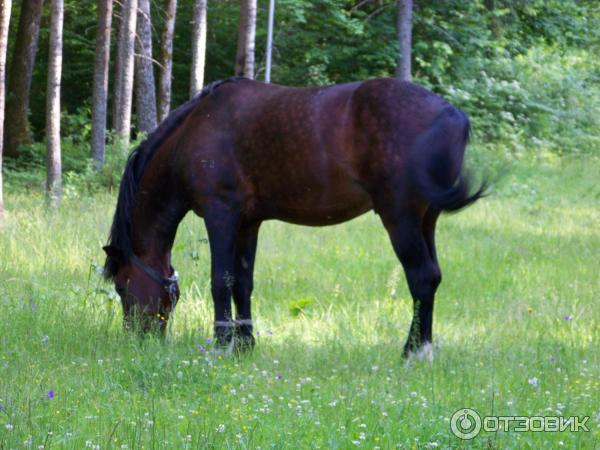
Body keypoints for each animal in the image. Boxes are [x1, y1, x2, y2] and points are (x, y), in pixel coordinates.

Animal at [103, 78, 486, 358]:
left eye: (121, 285)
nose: (136, 338)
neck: (194, 132)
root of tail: (451, 113)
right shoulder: (248, 223)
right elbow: (243, 282)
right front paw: (245, 345)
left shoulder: (220, 214)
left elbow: (220, 280)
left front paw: (222, 346)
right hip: (426, 220)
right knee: (433, 277)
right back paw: (425, 347)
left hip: (400, 217)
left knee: (421, 277)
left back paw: (411, 352)